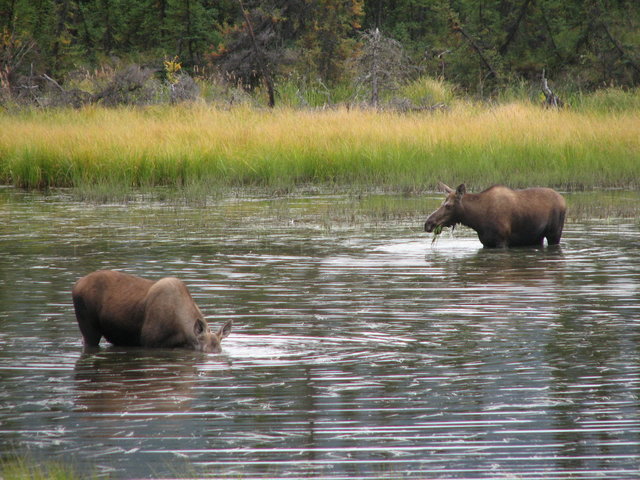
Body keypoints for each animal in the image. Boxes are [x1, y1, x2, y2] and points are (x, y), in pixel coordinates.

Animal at [424, 183, 564, 249]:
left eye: (448, 205)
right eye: (442, 203)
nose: (428, 223)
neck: (477, 220)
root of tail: (564, 201)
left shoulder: (502, 241)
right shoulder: (486, 243)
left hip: (554, 234)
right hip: (535, 237)